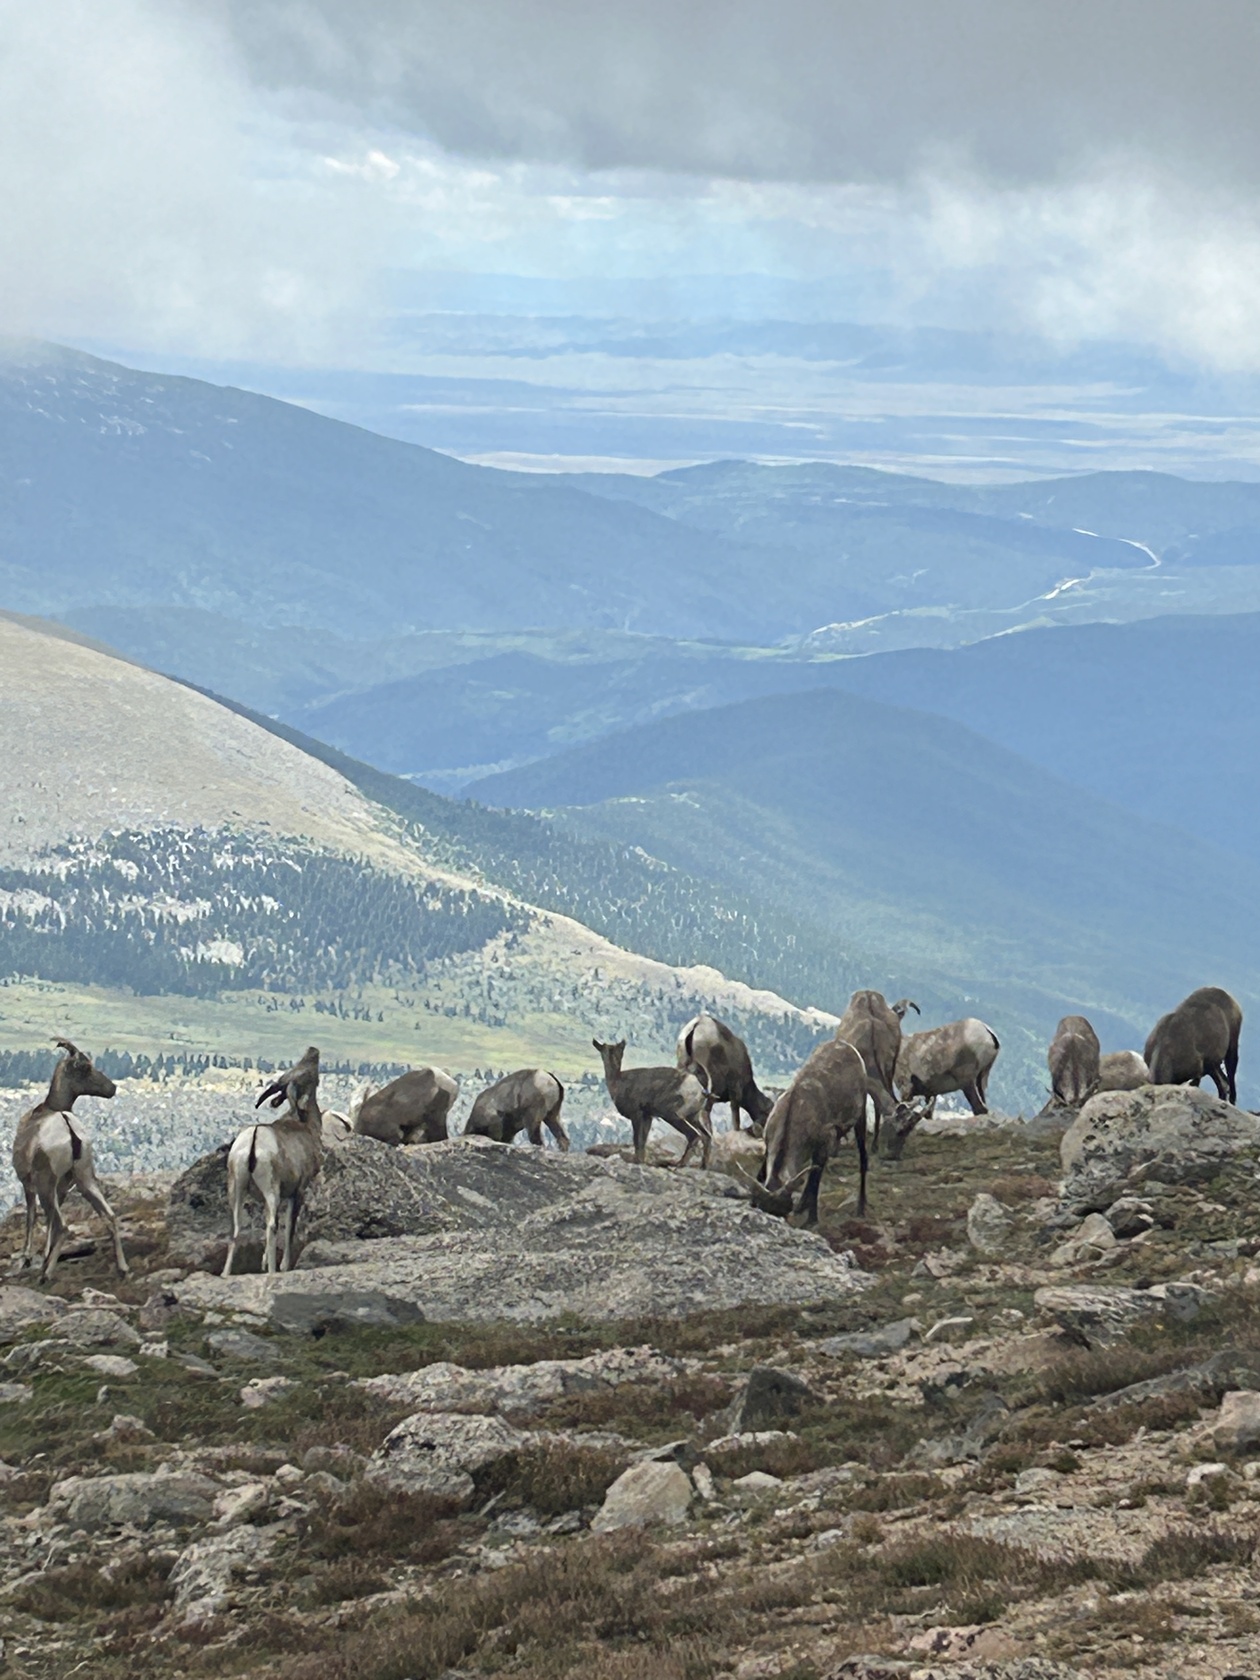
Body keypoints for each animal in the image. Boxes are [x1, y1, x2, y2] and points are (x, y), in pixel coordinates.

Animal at [10, 1034, 128, 1283]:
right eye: (84, 1067)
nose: (112, 1088)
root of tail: (69, 1128)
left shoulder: (29, 1185)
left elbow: (32, 1217)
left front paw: (28, 1258)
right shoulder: (62, 1188)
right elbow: (49, 1226)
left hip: (46, 1185)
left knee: (64, 1226)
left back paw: (46, 1275)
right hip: (85, 1179)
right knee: (110, 1216)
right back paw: (123, 1269)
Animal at [225, 1041, 327, 1276]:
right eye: (310, 1076)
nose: (313, 1050)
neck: (307, 1126)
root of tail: (253, 1141)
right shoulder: (296, 1192)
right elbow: (289, 1227)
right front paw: (283, 1265)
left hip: (237, 1188)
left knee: (236, 1229)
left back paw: (225, 1274)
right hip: (271, 1190)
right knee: (272, 1225)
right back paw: (272, 1270)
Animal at [591, 1034, 712, 1169]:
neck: (618, 1081)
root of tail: (700, 1089)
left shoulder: (637, 1114)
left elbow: (637, 1139)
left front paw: (637, 1161)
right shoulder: (648, 1116)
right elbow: (643, 1140)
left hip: (673, 1115)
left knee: (694, 1135)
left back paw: (679, 1164)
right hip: (693, 1116)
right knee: (707, 1136)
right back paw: (703, 1166)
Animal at [749, 1034, 866, 1223]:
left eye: (782, 1211)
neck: (793, 1111)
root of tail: (848, 1046)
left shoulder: (823, 1142)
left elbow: (815, 1178)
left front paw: (812, 1219)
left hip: (860, 1115)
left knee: (863, 1158)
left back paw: (861, 1208)